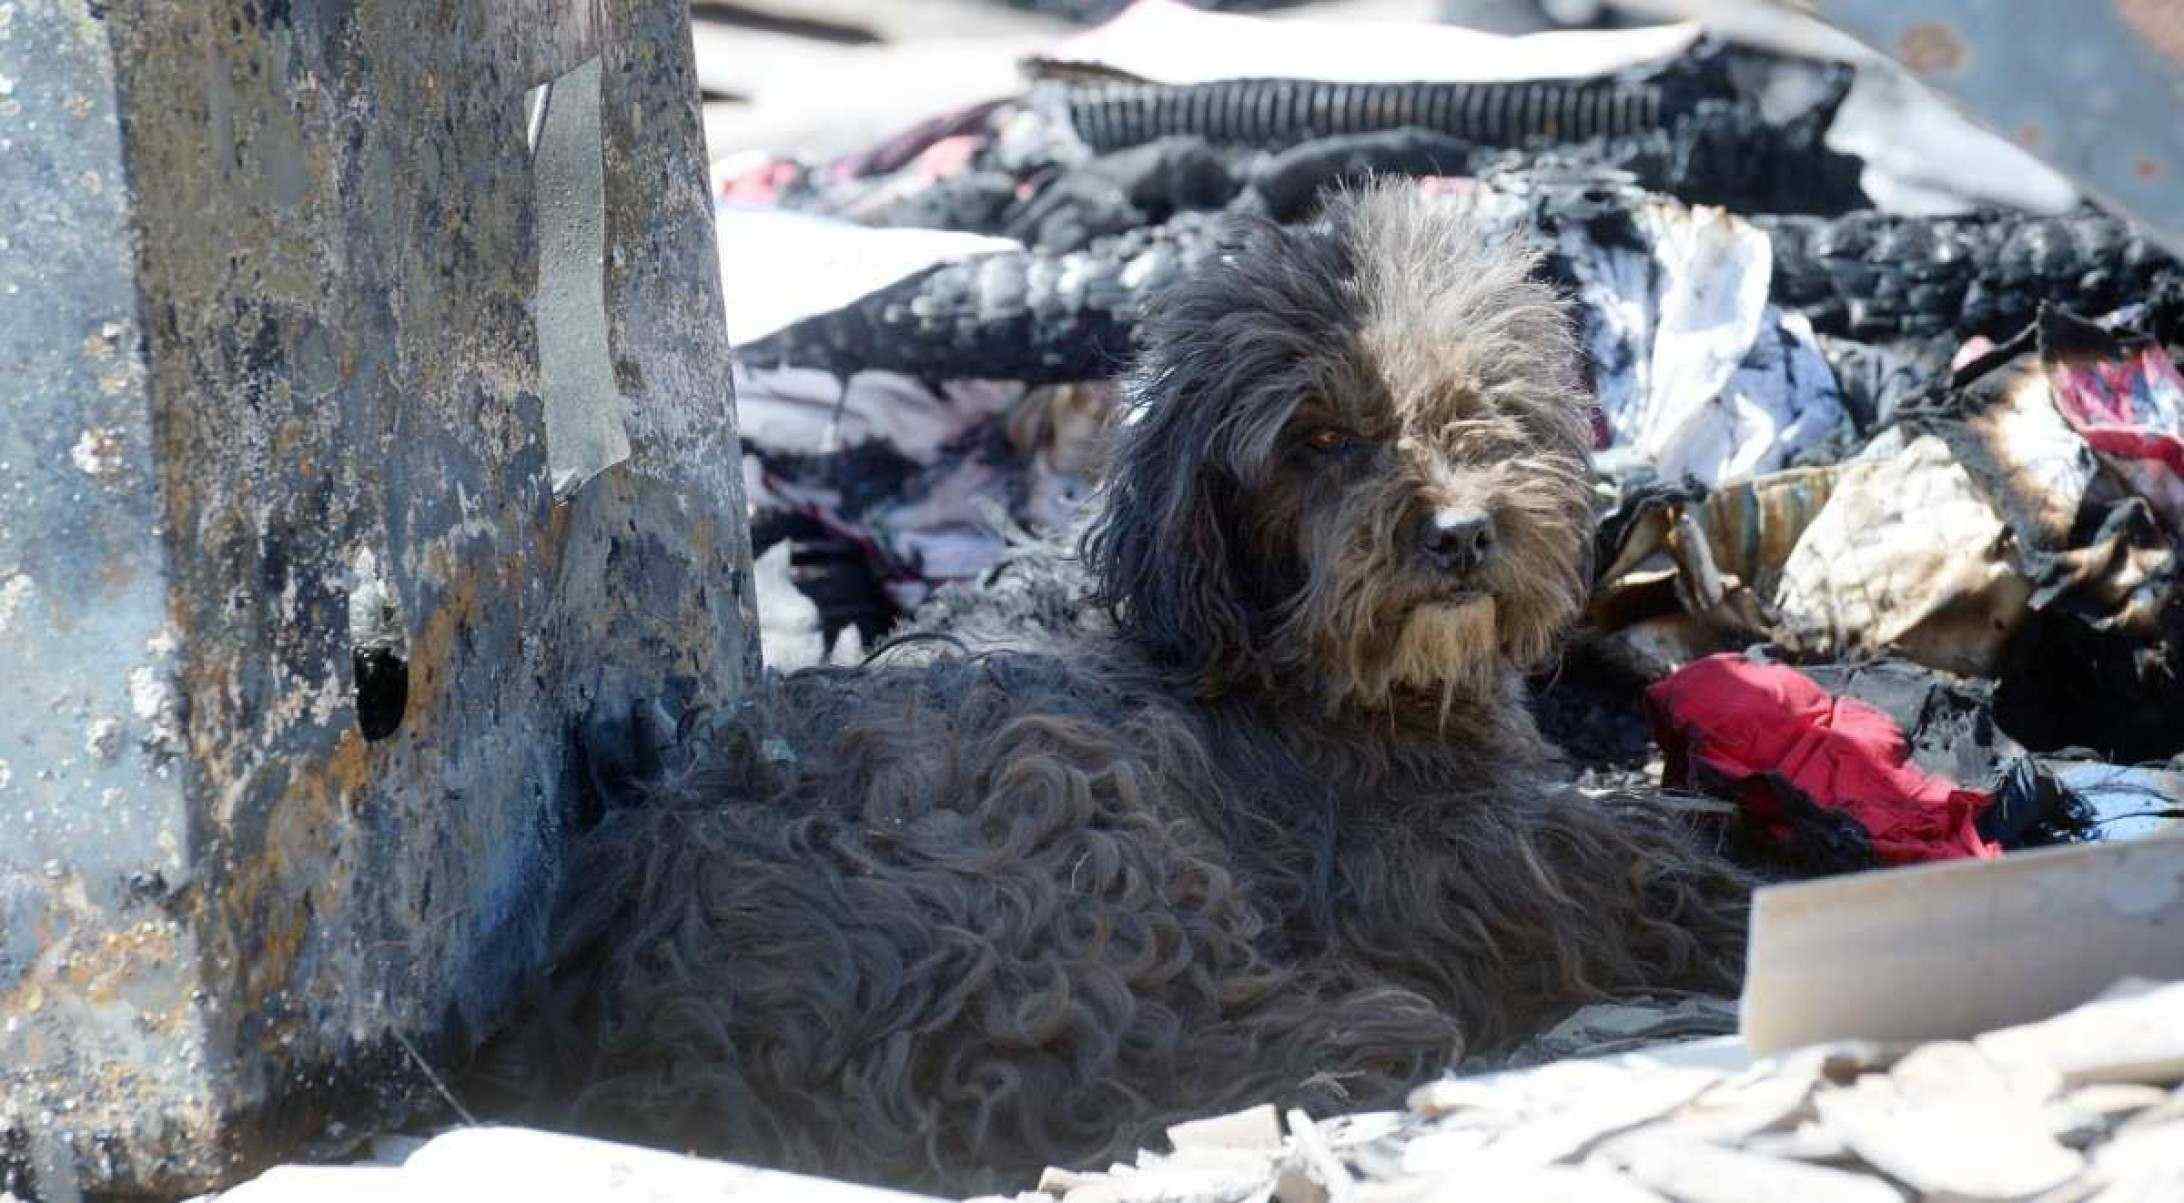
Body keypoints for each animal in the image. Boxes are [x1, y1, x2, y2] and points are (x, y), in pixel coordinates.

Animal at [487, 183, 1747, 1187]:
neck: (1270, 655)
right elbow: (1623, 864)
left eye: (1483, 404)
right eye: (1316, 438)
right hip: (1076, 809)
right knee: (1141, 1058)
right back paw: (1354, 1040)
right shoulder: (1437, 861)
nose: (1462, 535)